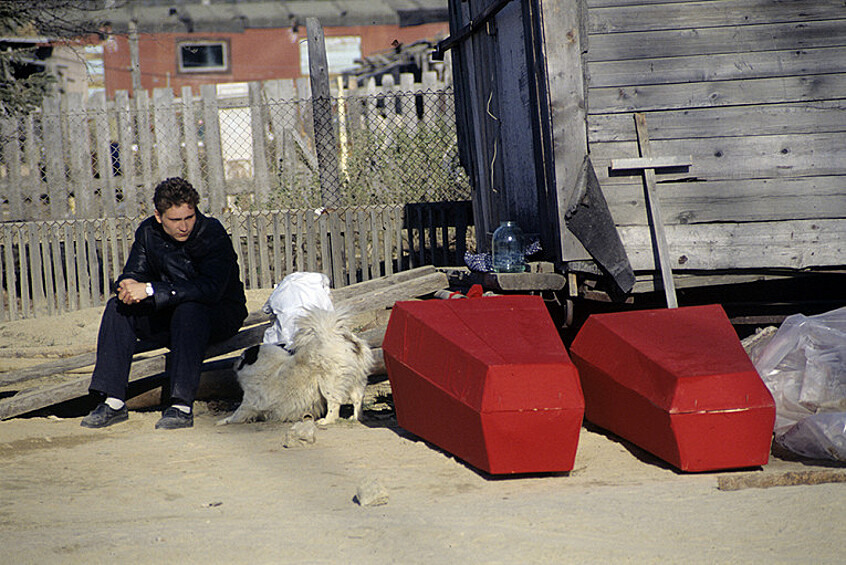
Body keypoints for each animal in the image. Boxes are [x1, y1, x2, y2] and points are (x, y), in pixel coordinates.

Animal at [219, 306, 374, 426]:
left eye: (242, 357)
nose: (235, 363)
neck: (268, 367)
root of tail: (336, 336)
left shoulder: (248, 403)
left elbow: (234, 416)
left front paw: (222, 422)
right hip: (357, 381)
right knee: (358, 399)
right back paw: (356, 418)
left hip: (329, 384)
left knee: (334, 404)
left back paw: (326, 421)